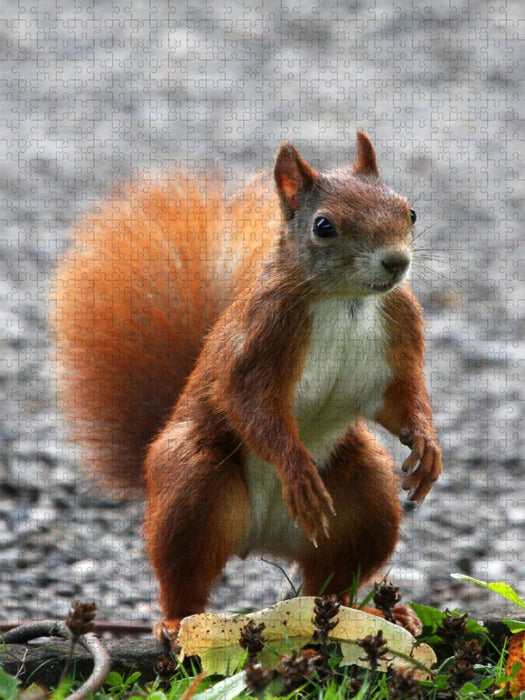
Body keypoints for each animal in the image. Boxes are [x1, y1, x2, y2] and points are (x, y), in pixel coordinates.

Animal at [51, 132, 442, 643]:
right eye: (323, 226)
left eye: (409, 211)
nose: (396, 262)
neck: (345, 299)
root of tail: (263, 538)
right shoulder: (260, 341)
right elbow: (252, 407)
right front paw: (296, 470)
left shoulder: (399, 329)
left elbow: (402, 401)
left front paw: (428, 447)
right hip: (194, 486)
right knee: (185, 574)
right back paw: (176, 622)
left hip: (366, 496)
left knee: (332, 578)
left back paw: (372, 613)